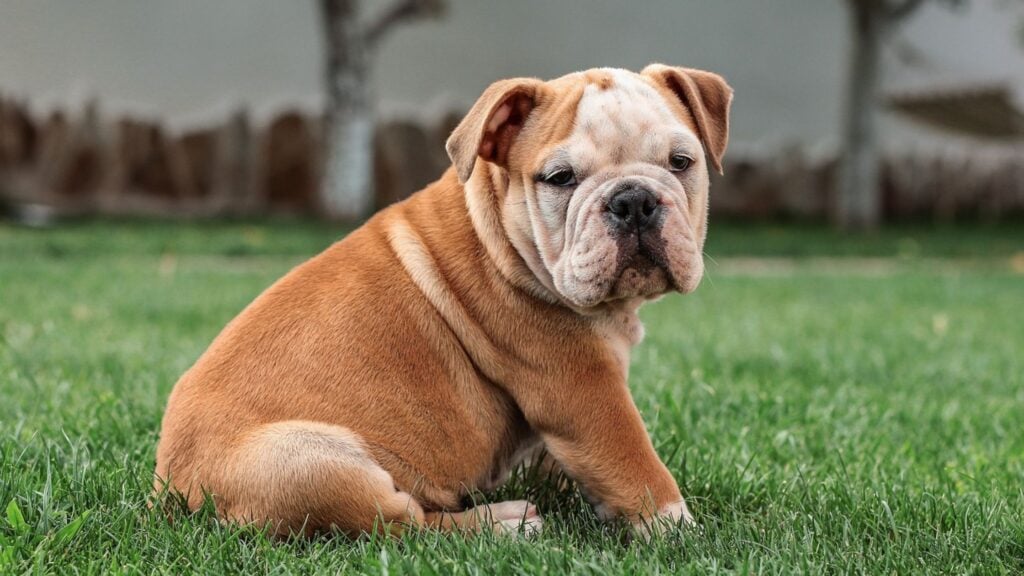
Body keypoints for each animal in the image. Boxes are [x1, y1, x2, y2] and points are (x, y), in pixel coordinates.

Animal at [153, 65, 729, 537]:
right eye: (560, 178)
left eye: (682, 162)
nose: (633, 200)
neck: (500, 233)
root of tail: (171, 491)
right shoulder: (584, 389)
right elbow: (636, 462)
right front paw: (678, 532)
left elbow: (571, 462)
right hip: (310, 463)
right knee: (403, 524)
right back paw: (504, 523)